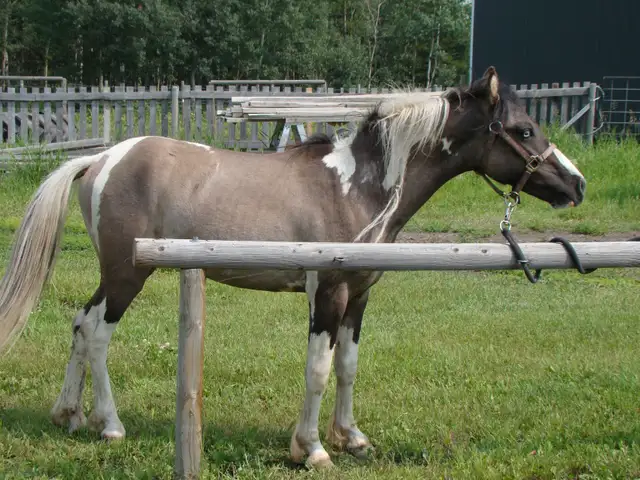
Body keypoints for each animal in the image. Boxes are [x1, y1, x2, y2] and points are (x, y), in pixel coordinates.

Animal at [0, 67, 586, 469]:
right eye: (523, 130)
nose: (576, 184)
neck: (357, 186)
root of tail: (100, 159)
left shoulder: (360, 295)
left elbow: (348, 367)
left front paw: (352, 438)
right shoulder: (327, 293)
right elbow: (318, 370)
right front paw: (313, 448)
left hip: (113, 277)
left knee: (80, 325)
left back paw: (70, 415)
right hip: (127, 275)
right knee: (98, 334)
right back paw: (111, 425)